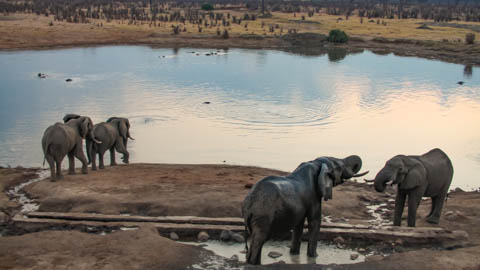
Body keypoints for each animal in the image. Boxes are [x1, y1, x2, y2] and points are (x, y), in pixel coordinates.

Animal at [242, 155, 370, 264]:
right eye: (339, 166)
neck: (315, 163)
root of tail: (249, 205)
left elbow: (299, 225)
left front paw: (294, 254)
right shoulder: (313, 196)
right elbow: (315, 221)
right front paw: (314, 257)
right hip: (263, 213)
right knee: (260, 238)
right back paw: (253, 264)